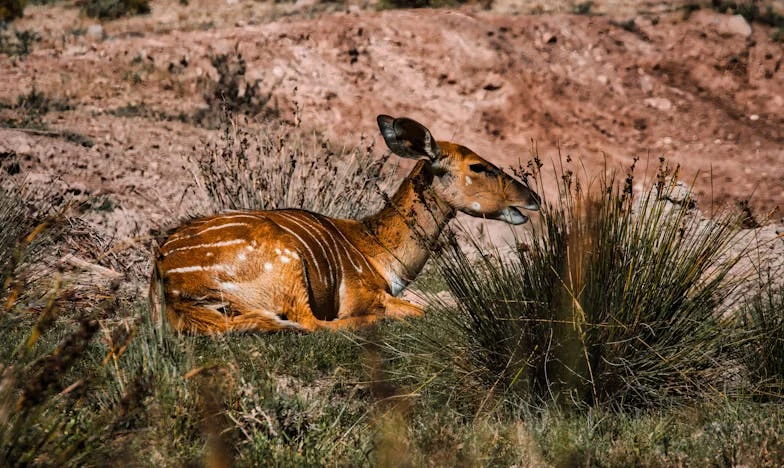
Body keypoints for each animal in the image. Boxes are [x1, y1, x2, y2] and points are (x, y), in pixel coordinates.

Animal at [151, 116, 544, 334]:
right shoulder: (364, 294)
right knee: (307, 323)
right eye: (478, 166)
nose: (532, 198)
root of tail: (170, 281)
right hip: (287, 264)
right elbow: (425, 309)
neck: (378, 252)